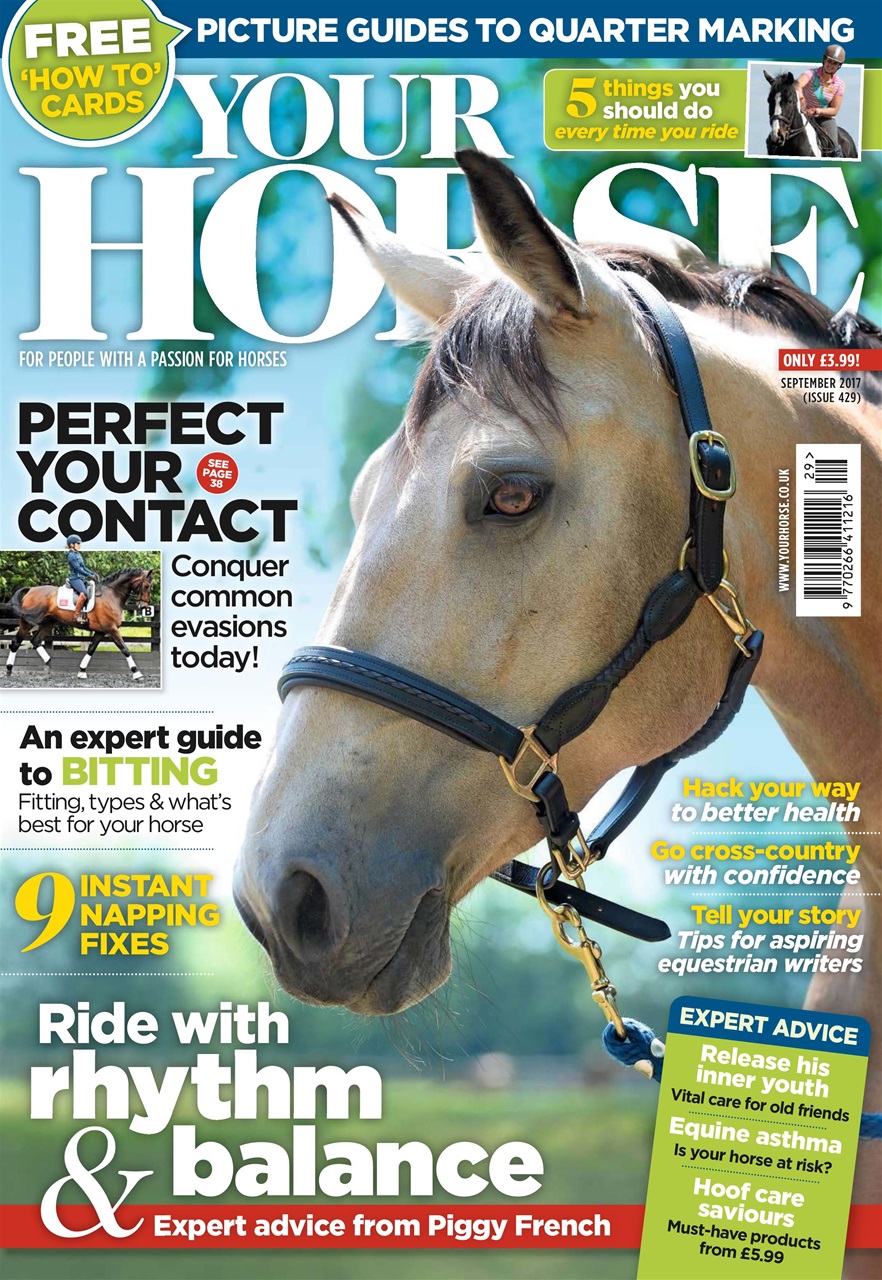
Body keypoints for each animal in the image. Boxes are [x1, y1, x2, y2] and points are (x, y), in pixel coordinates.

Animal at [7, 567, 154, 680]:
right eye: (146, 586)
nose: (143, 607)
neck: (111, 595)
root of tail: (31, 590)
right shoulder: (111, 629)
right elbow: (125, 649)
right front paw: (137, 673)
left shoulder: (101, 631)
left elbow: (91, 649)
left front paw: (82, 672)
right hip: (27, 623)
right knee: (16, 642)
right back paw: (9, 670)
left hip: (49, 623)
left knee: (35, 641)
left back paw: (48, 663)